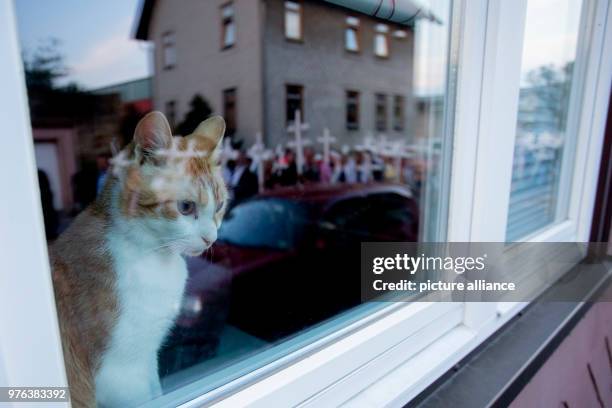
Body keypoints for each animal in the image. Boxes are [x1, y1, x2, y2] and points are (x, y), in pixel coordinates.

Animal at [49, 112, 227, 408]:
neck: (154, 256)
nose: (210, 238)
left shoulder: (147, 358)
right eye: (185, 207)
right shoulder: (122, 374)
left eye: (220, 206)